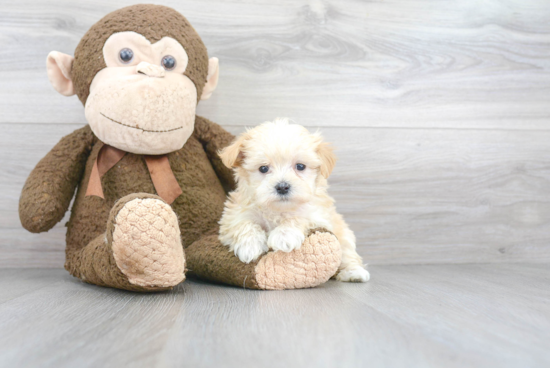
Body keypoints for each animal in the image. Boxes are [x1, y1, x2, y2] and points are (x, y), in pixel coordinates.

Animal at [219, 118, 370, 282]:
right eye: (263, 168)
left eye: (300, 166)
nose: (282, 187)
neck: (278, 209)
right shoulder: (233, 214)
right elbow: (242, 223)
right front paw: (250, 245)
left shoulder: (319, 215)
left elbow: (299, 217)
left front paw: (284, 236)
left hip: (344, 236)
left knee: (349, 254)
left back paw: (354, 272)